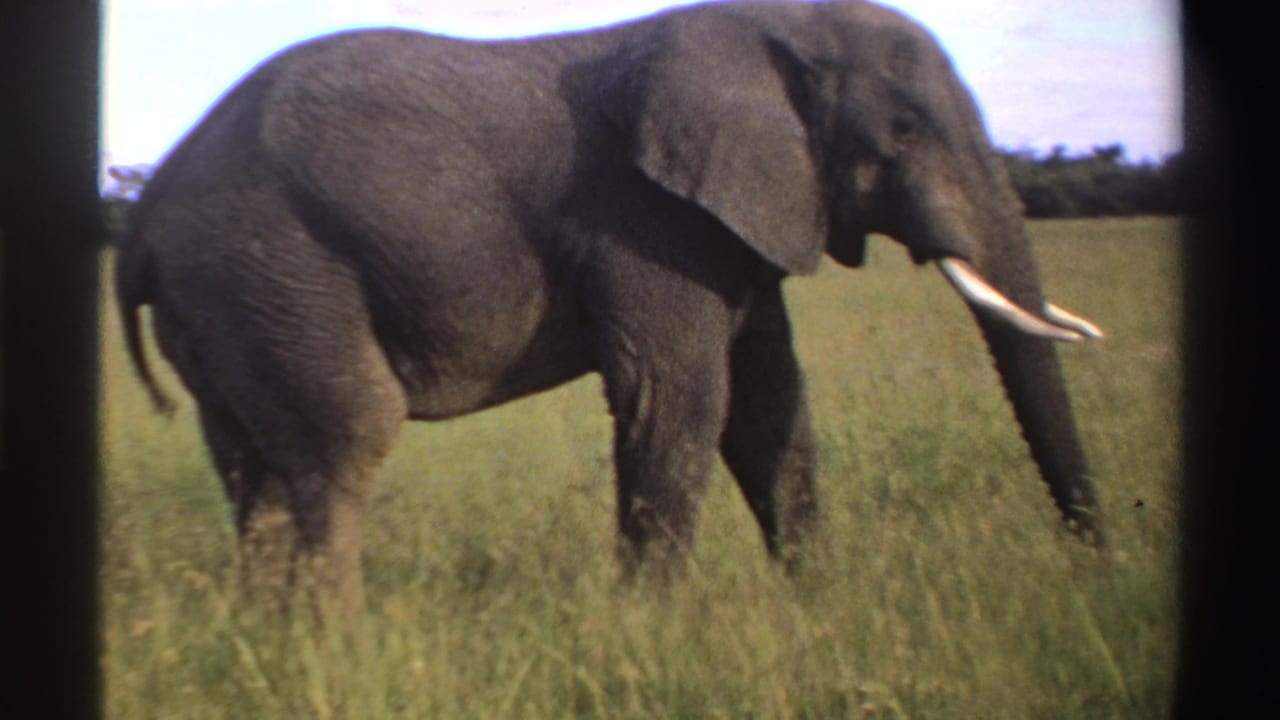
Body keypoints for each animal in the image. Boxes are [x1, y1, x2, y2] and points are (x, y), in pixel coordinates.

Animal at [116, 0, 1104, 612]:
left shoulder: (727, 223)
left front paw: (818, 601)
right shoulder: (641, 219)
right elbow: (679, 399)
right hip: (275, 266)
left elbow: (769, 405)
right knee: (343, 441)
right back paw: (338, 645)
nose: (1096, 564)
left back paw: (271, 637)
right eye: (902, 130)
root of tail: (148, 206)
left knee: (253, 469)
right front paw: (654, 626)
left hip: (227, 300)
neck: (770, 24)